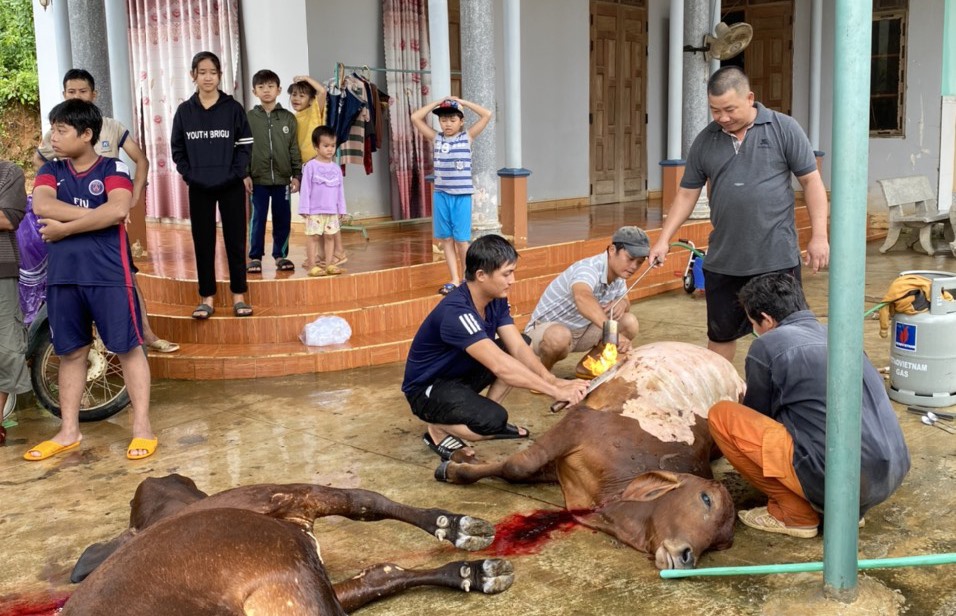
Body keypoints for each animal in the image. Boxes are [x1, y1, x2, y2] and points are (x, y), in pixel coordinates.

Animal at [436, 342, 744, 568]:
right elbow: (517, 466)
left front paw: (461, 463)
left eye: (722, 543)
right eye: (706, 499)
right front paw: (455, 466)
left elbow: (516, 469)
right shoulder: (577, 425)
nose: (687, 557)